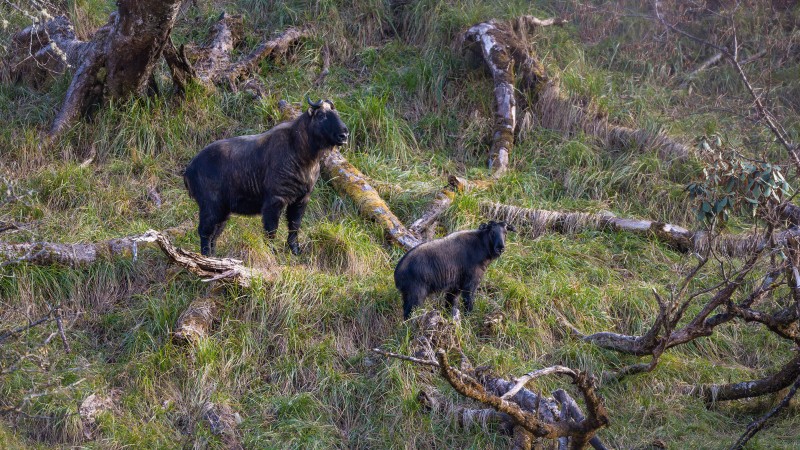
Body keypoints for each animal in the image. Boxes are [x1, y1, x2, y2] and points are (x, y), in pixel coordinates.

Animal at [183, 96, 348, 255]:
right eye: (321, 115)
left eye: (336, 112)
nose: (344, 134)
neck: (300, 152)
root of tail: (189, 169)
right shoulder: (275, 200)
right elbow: (271, 230)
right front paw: (272, 252)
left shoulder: (301, 199)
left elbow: (294, 226)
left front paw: (295, 250)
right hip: (210, 206)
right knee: (205, 232)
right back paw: (206, 257)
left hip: (223, 210)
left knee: (214, 234)